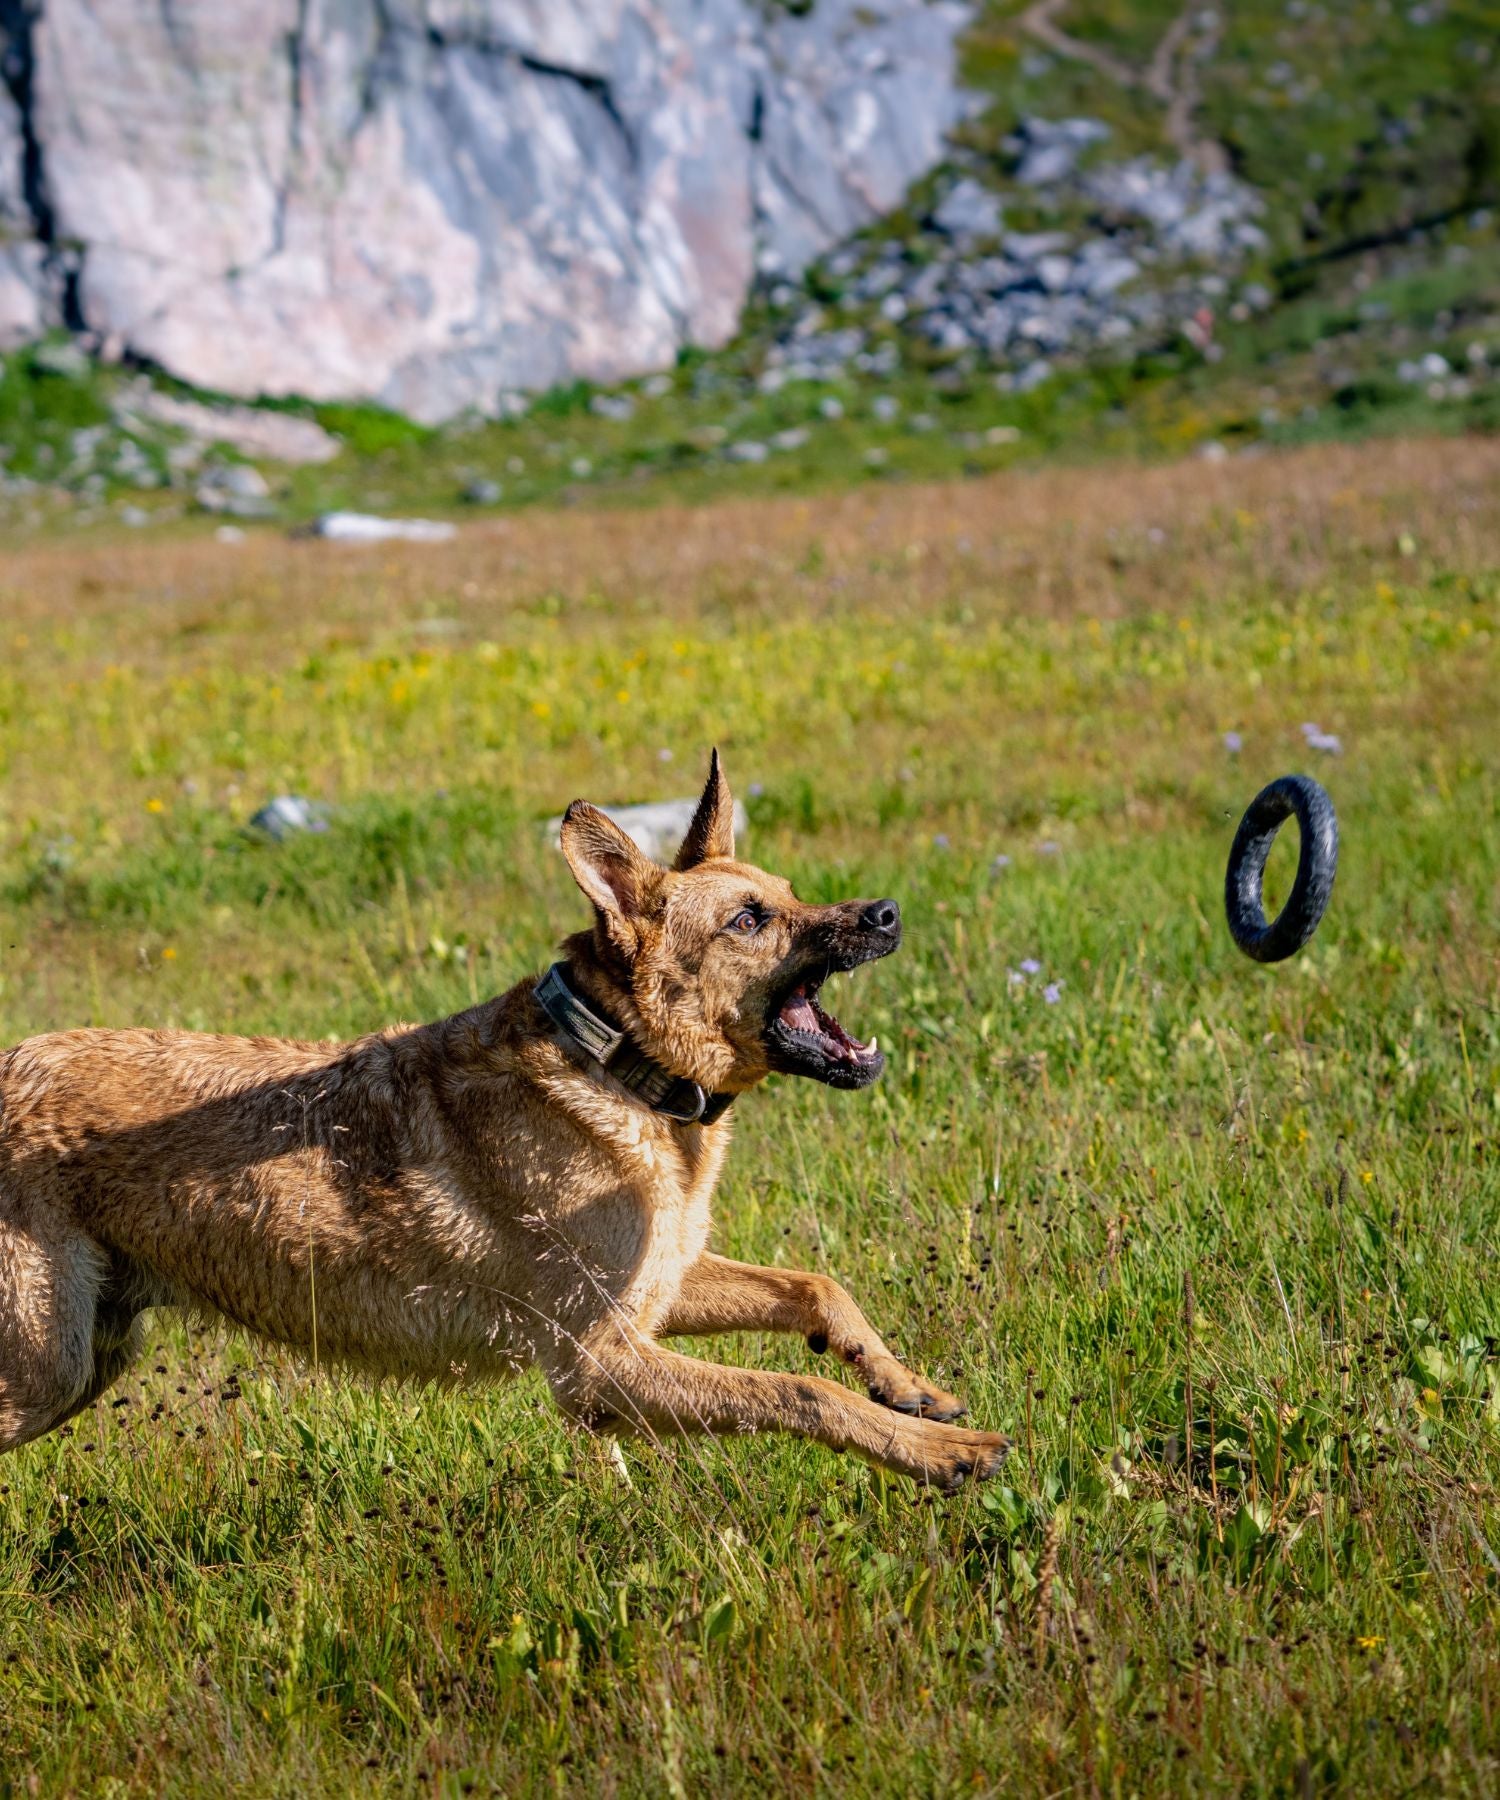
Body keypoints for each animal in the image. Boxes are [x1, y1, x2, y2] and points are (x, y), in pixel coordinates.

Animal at [2, 748, 1008, 1490]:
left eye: (791, 892)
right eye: (750, 919)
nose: (888, 912)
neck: (620, 1066)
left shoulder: (659, 1293)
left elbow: (814, 1288)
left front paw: (910, 1390)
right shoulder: (599, 1366)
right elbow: (798, 1390)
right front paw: (942, 1454)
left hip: (88, 1360)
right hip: (45, 1371)